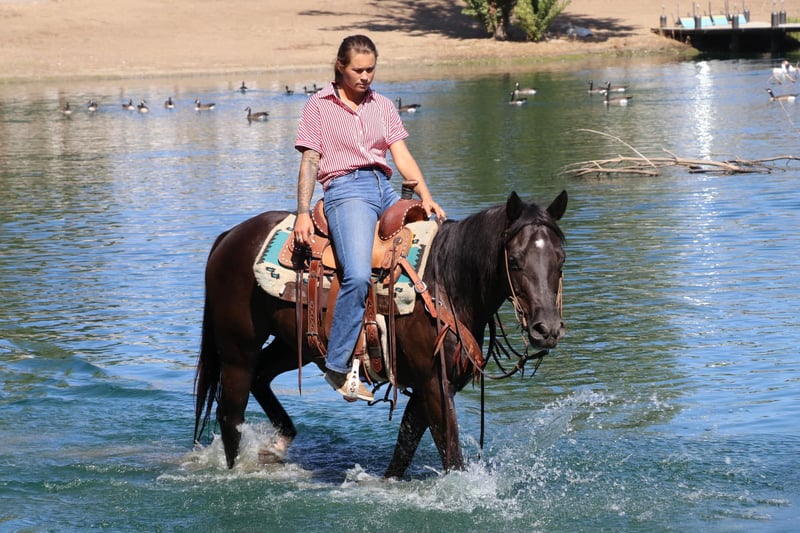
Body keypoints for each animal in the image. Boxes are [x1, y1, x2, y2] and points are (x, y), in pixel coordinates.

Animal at [194, 190, 568, 478]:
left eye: (561, 259)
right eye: (515, 260)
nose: (546, 329)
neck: (446, 282)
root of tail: (229, 237)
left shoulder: (429, 385)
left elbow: (405, 446)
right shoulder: (434, 382)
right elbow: (450, 453)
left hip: (294, 344)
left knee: (261, 378)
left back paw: (277, 444)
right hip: (237, 349)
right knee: (230, 415)